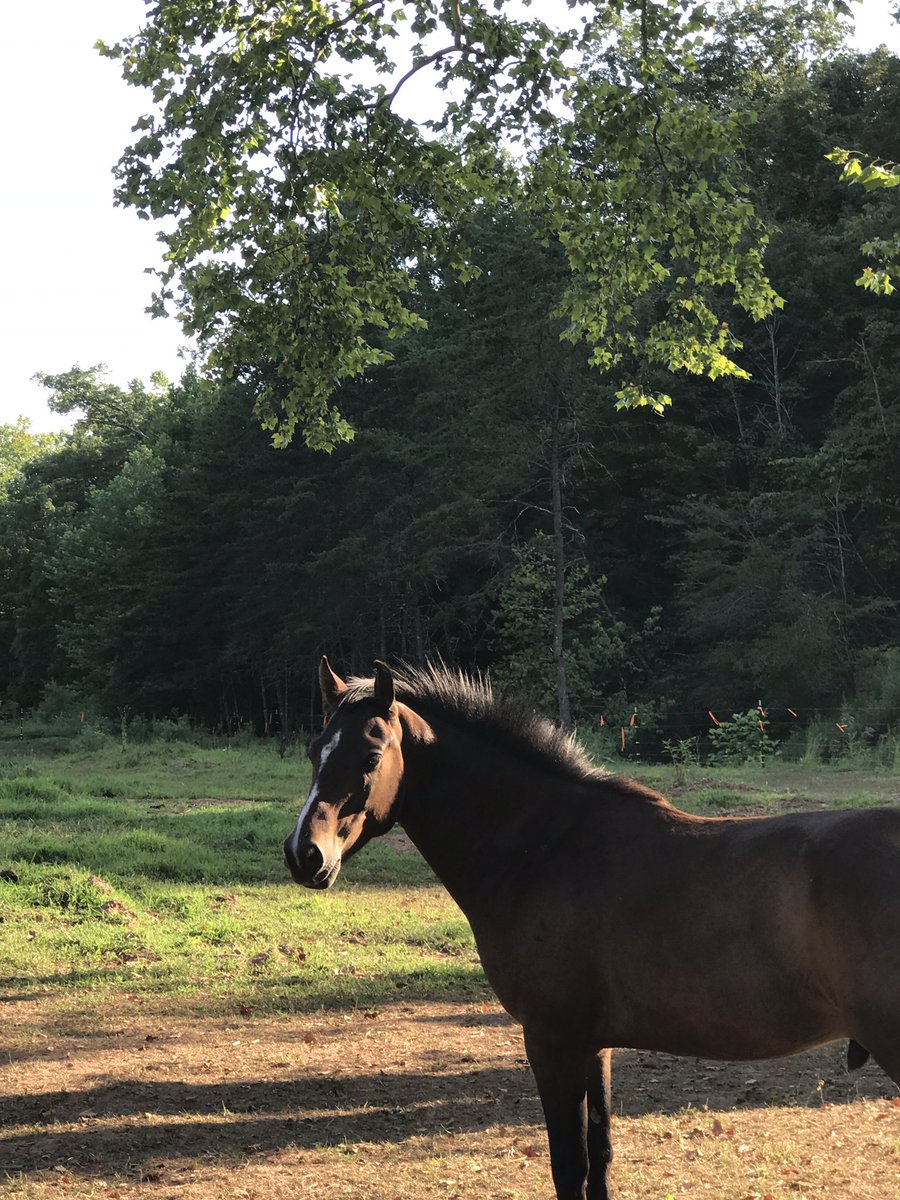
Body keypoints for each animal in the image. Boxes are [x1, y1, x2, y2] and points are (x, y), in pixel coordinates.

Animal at [283, 658, 900, 1200]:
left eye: (369, 756)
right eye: (315, 751)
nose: (304, 855)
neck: (543, 847)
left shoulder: (551, 1040)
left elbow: (569, 1166)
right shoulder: (594, 1046)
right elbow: (599, 1158)